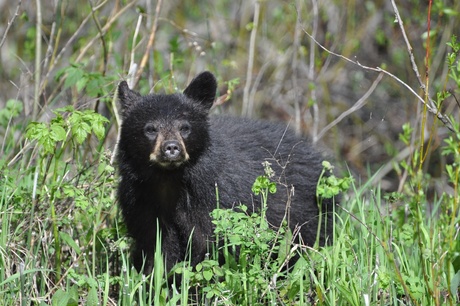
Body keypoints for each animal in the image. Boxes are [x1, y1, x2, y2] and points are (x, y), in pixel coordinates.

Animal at [117, 71, 332, 274]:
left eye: (185, 127)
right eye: (150, 129)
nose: (171, 147)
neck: (168, 180)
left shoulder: (216, 200)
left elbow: (210, 249)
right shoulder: (140, 202)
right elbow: (157, 249)